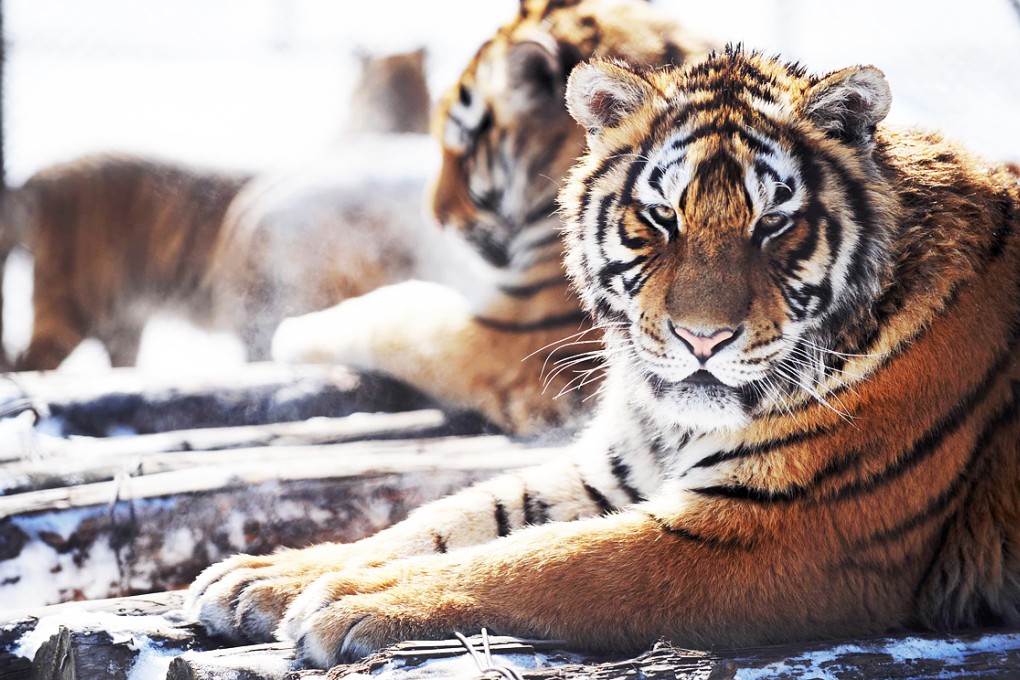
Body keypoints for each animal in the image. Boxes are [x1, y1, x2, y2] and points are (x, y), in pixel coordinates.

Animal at [188, 47, 1020, 669]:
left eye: (773, 224)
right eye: (660, 217)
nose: (703, 339)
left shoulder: (776, 531)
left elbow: (548, 561)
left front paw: (354, 595)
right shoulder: (610, 472)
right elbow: (447, 519)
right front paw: (272, 572)